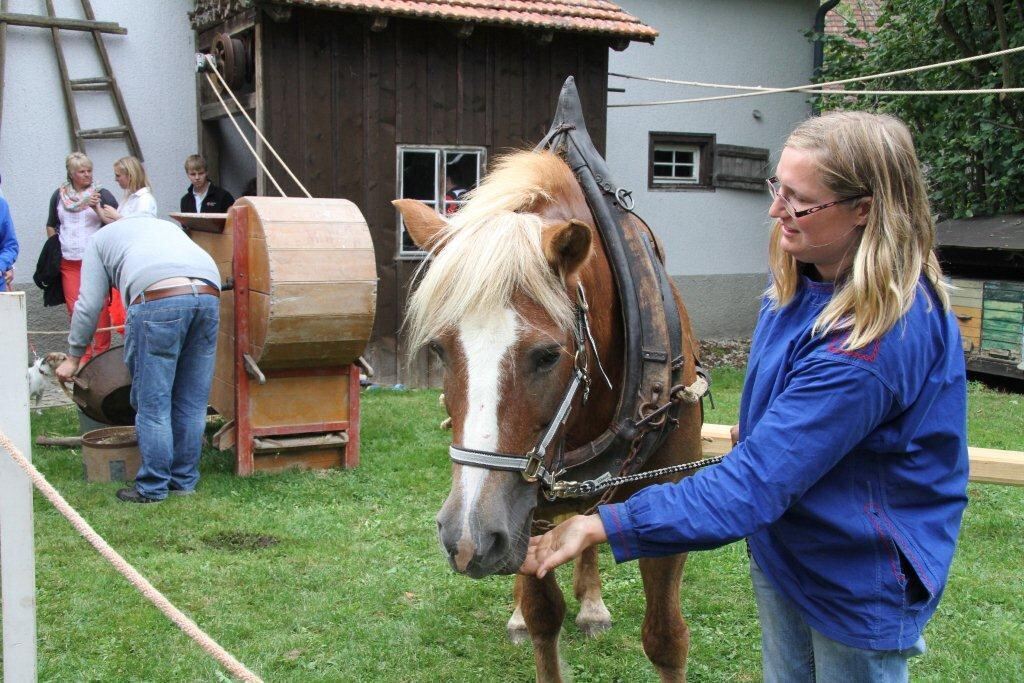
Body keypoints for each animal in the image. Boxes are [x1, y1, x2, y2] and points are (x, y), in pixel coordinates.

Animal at [395, 150, 708, 683]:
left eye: (547, 355)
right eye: (438, 347)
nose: (465, 538)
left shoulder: (669, 493)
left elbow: (666, 637)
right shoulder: (523, 512)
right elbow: (543, 614)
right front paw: (529, 615)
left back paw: (593, 605)